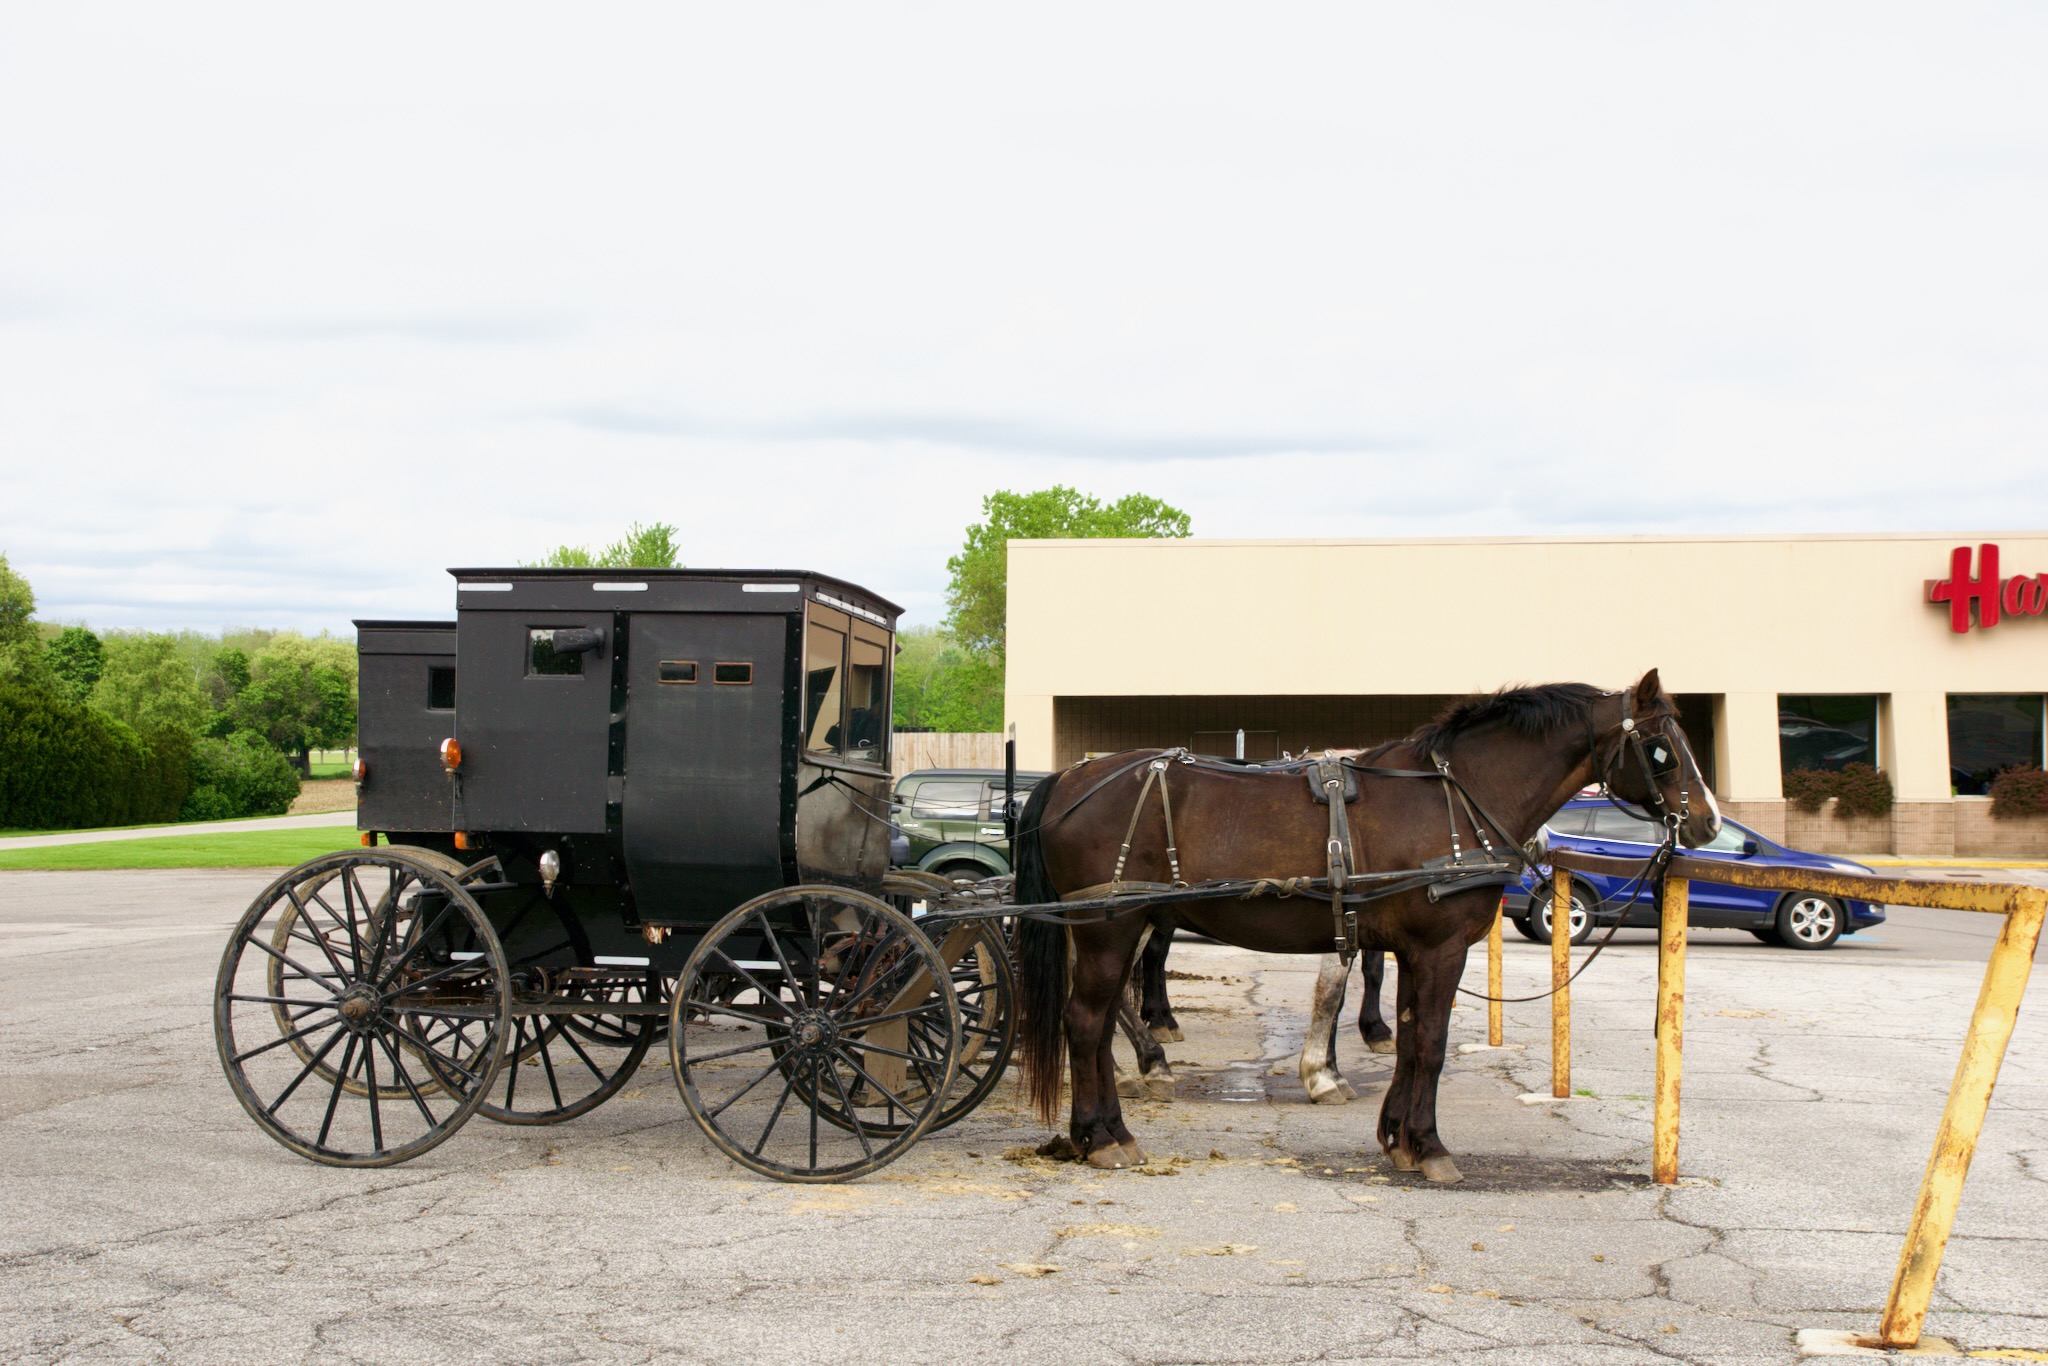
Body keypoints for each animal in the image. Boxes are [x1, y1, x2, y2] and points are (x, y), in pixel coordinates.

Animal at [1015, 675, 1720, 1187]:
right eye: (1661, 747)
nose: (1709, 823)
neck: (1454, 798)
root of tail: (1069, 779)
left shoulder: (1413, 950)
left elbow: (1408, 1040)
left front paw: (1398, 1139)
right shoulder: (1439, 950)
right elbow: (1430, 1045)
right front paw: (1429, 1147)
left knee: (1100, 1024)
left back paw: (1109, 1127)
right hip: (1109, 930)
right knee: (1085, 1023)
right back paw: (1102, 1137)